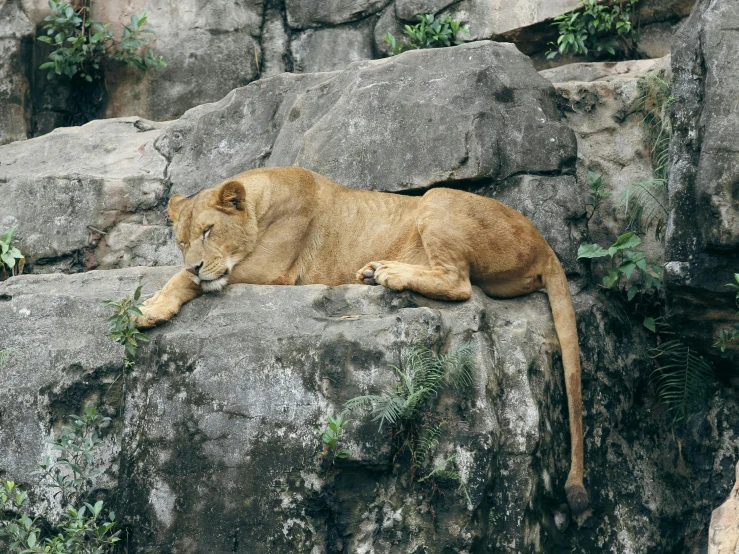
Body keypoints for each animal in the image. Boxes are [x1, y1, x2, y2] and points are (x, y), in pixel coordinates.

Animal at [137, 165, 588, 512]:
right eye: (182, 241)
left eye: (208, 231)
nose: (195, 264)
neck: (263, 198)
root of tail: (546, 245)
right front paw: (161, 296)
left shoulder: (272, 270)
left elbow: (182, 280)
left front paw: (149, 309)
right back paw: (374, 271)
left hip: (437, 199)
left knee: (458, 283)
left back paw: (387, 272)